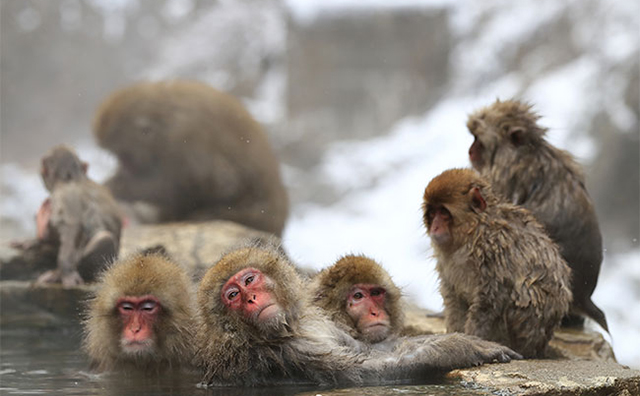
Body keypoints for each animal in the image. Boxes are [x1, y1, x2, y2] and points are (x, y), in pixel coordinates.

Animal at [92, 79, 288, 237]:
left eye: (124, 155)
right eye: (118, 157)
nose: (124, 169)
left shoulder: (186, 139)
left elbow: (214, 183)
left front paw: (117, 187)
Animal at [195, 244, 520, 386]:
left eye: (249, 280)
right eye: (232, 295)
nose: (250, 298)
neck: (288, 328)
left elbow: (368, 349)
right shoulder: (279, 353)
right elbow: (366, 370)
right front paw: (458, 348)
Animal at [422, 169, 572, 358]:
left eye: (443, 212)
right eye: (432, 213)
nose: (435, 227)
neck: (473, 232)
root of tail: (540, 346)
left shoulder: (494, 248)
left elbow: (491, 298)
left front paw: (473, 339)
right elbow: (454, 297)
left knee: (525, 290)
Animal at [468, 98, 608, 332]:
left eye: (479, 139)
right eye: (474, 137)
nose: (471, 150)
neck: (530, 150)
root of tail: (584, 298)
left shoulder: (506, 172)